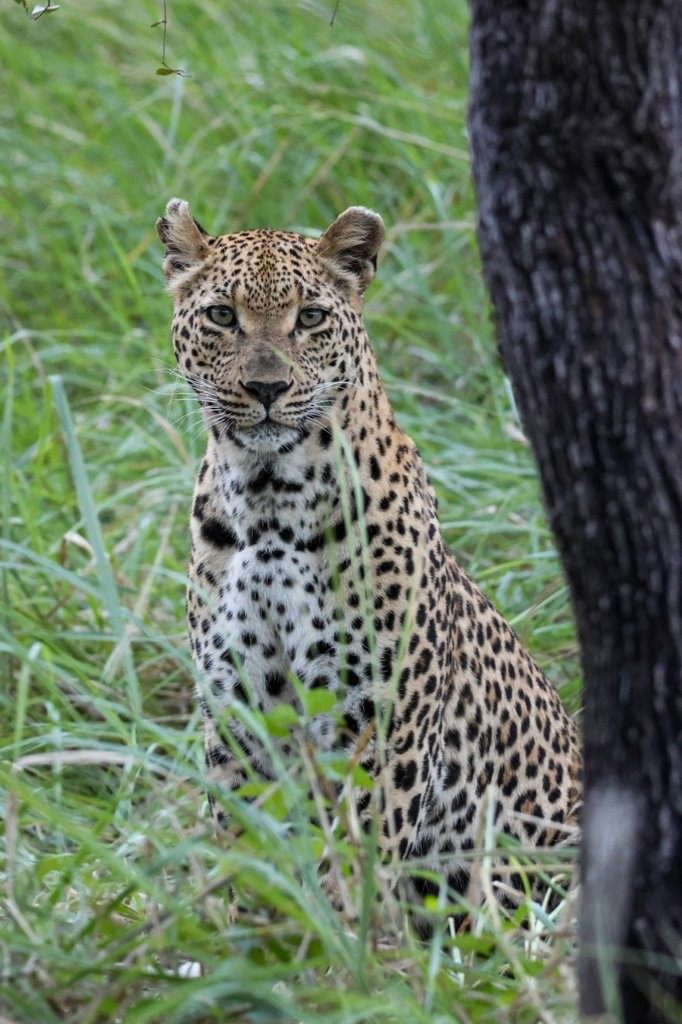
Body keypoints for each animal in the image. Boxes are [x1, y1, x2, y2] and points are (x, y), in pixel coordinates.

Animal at [156, 197, 581, 914]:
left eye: (310, 317)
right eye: (222, 316)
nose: (266, 387)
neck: (269, 502)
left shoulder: (381, 723)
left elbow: (360, 860)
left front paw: (351, 938)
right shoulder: (240, 717)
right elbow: (249, 859)